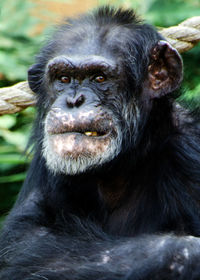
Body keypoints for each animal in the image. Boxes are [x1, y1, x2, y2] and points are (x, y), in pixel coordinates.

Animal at [0, 6, 200, 280]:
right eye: (63, 79)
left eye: (99, 78)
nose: (75, 101)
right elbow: (26, 239)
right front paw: (184, 252)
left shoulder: (190, 151)